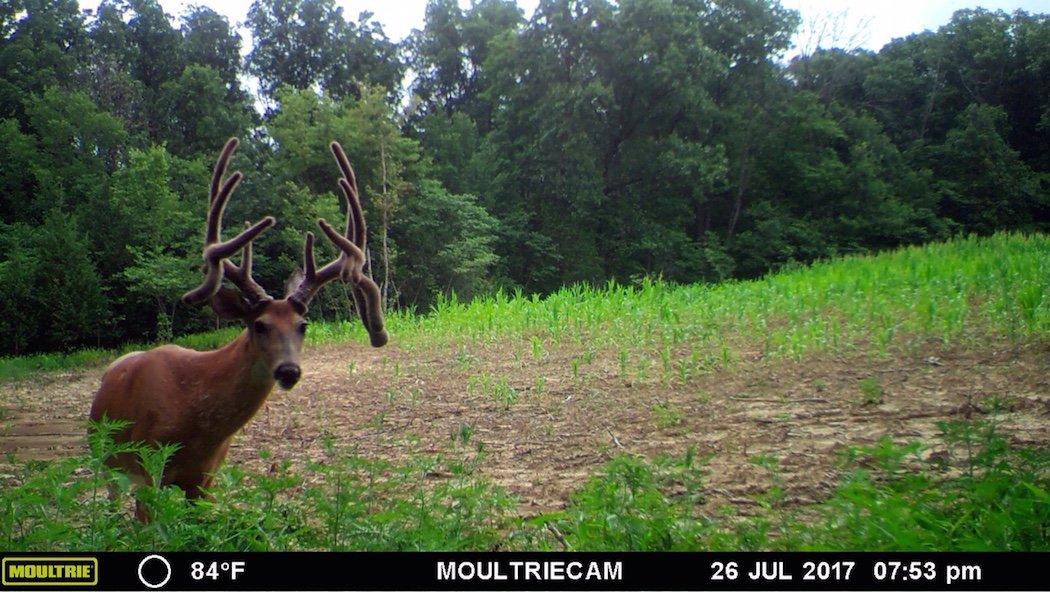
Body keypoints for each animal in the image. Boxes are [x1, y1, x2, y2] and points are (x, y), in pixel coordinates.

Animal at [89, 138, 387, 521]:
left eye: (303, 325)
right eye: (258, 325)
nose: (289, 370)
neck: (191, 412)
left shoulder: (205, 480)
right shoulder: (147, 468)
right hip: (103, 454)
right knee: (110, 499)